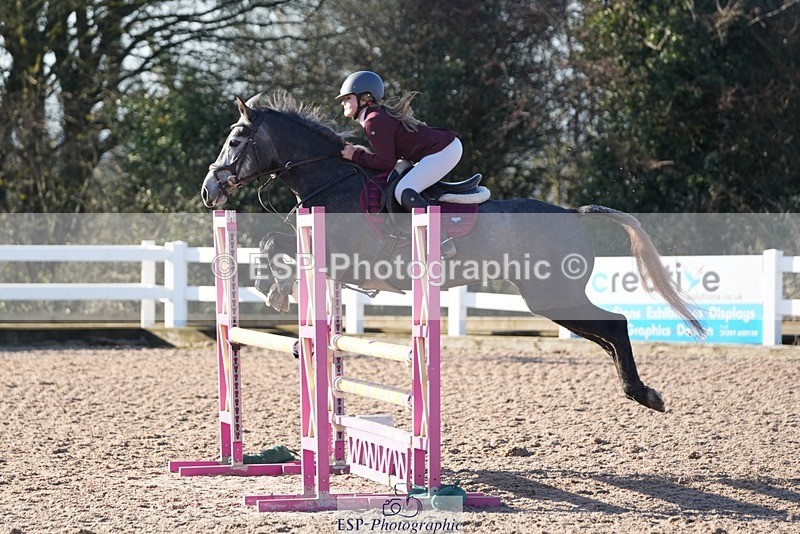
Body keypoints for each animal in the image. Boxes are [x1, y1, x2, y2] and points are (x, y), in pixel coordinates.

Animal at [200, 92, 704, 413]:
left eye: (235, 141)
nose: (209, 191)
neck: (330, 178)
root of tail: (570, 212)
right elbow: (273, 245)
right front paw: (274, 289)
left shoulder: (340, 255)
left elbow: (275, 244)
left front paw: (274, 291)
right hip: (551, 300)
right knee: (603, 333)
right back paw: (639, 389)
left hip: (552, 294)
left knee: (614, 325)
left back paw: (645, 395)